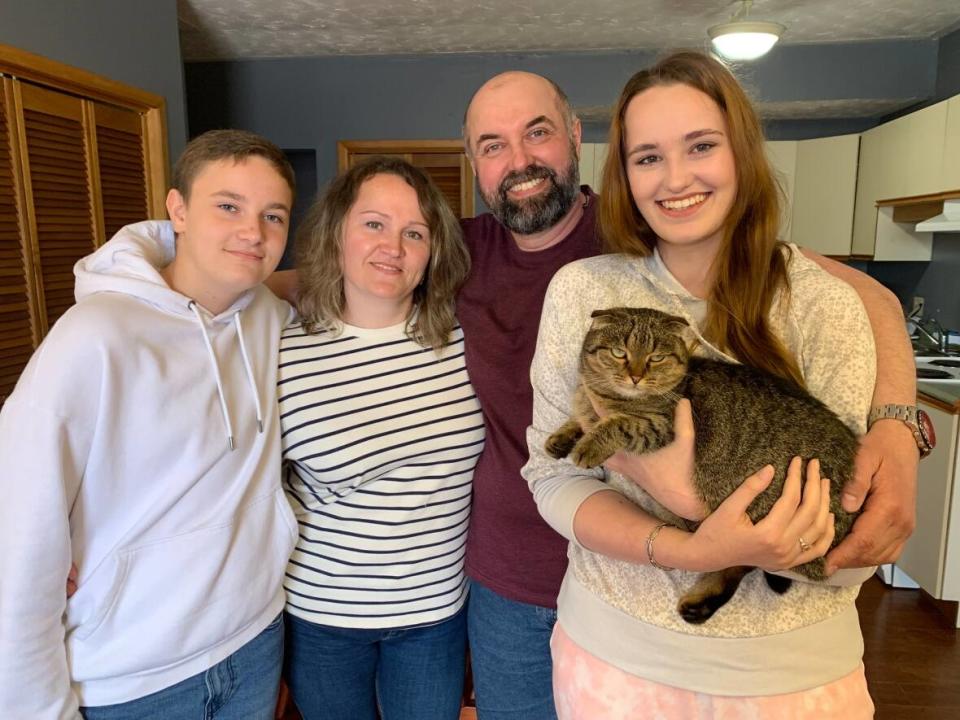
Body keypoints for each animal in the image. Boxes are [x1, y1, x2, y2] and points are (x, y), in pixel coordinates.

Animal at [544, 306, 860, 620]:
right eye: (619, 352)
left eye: (655, 358)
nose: (635, 376)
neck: (605, 397)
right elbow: (580, 417)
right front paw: (561, 438)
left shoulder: (659, 425)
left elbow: (619, 424)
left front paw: (588, 446)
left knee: (748, 562)